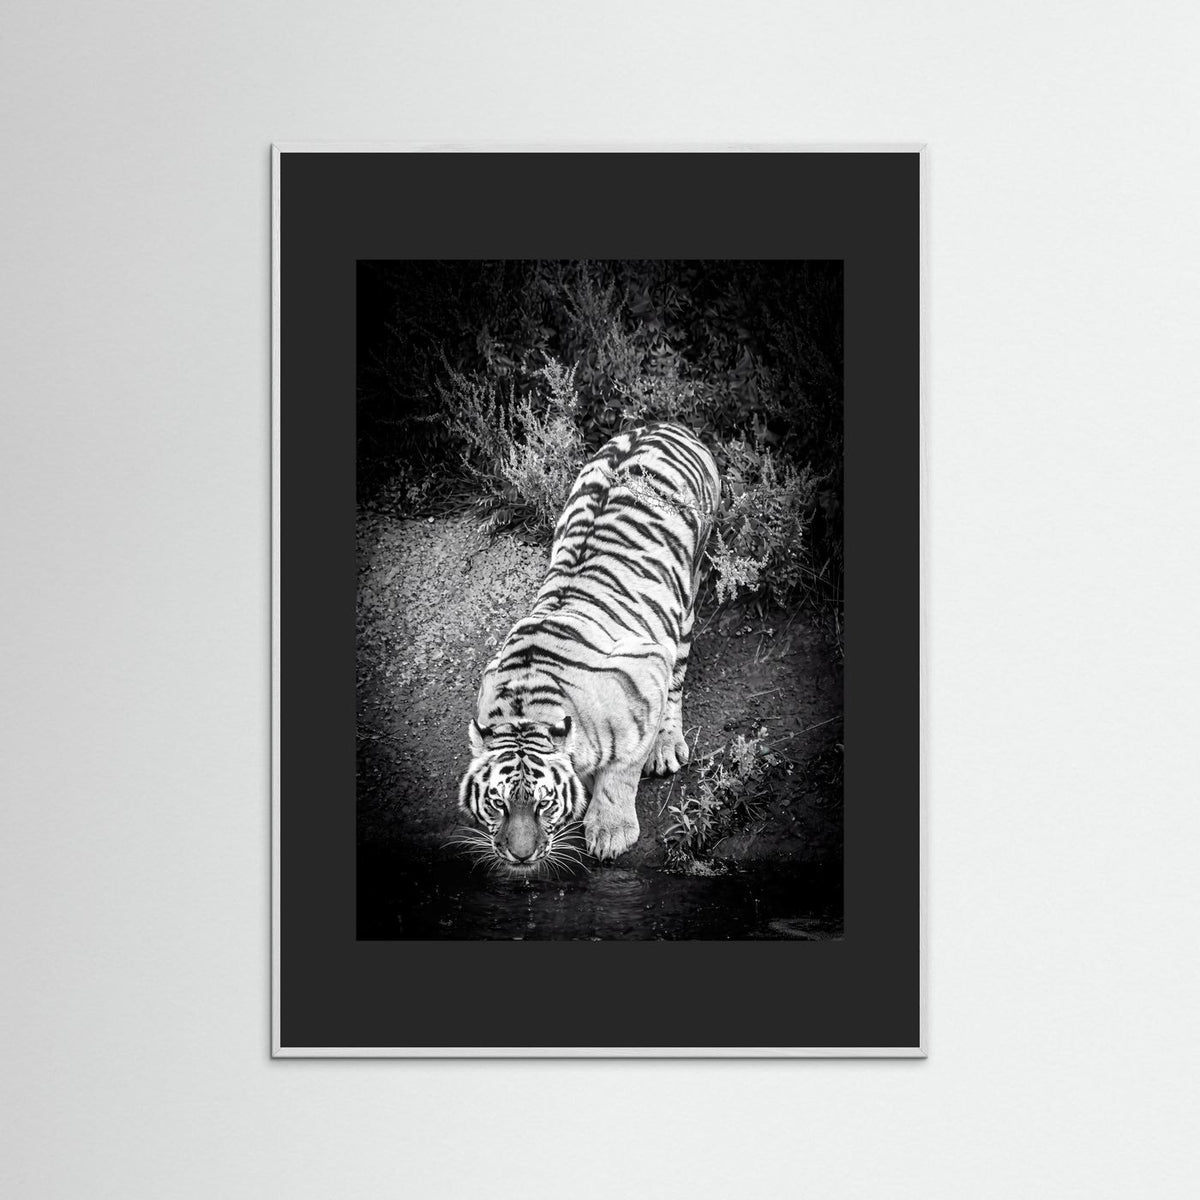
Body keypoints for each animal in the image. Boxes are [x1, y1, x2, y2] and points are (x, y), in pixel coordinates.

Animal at [456, 421, 721, 871]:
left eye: (543, 805)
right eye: (498, 804)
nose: (520, 856)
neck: (526, 706)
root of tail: (666, 424)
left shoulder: (646, 671)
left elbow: (622, 770)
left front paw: (611, 833)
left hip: (686, 598)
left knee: (677, 678)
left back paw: (666, 746)